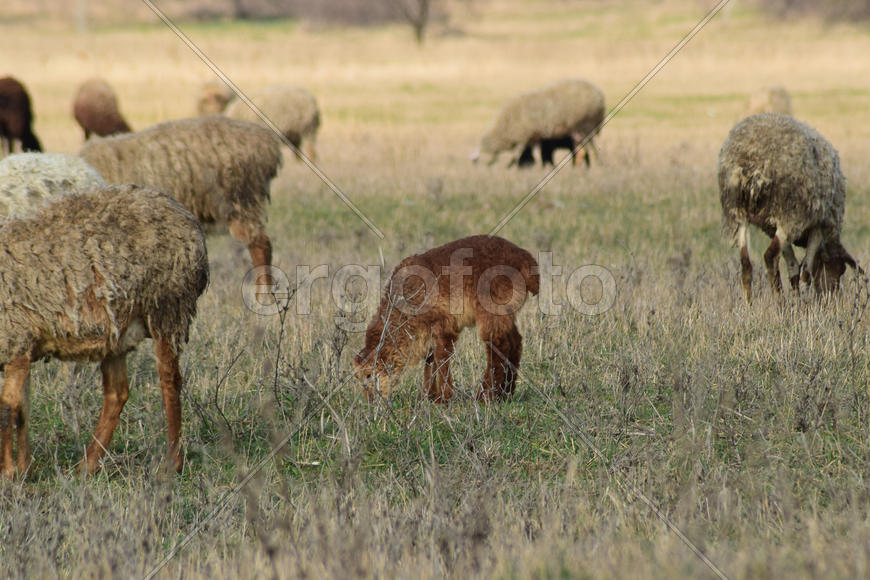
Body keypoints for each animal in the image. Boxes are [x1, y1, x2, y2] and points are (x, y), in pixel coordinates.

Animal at [0, 184, 209, 477]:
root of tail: (185, 214)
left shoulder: (16, 339)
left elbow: (8, 408)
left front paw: (9, 473)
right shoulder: (22, 346)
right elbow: (22, 410)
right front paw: (24, 469)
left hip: (167, 308)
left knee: (170, 381)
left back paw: (172, 463)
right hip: (117, 332)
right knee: (117, 393)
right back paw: (87, 465)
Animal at [354, 235, 539, 403]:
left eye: (369, 375)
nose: (371, 402)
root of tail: (525, 259)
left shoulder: (444, 325)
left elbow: (442, 357)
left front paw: (444, 397)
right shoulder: (427, 331)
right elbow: (431, 360)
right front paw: (427, 396)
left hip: (492, 310)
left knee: (499, 346)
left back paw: (486, 395)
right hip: (506, 313)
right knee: (515, 342)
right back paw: (507, 392)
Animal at [471, 79, 604, 167]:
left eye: (478, 161)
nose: (482, 169)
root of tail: (600, 96)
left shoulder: (523, 137)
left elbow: (516, 155)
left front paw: (511, 167)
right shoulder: (533, 137)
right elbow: (536, 155)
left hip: (585, 127)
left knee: (590, 149)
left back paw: (596, 164)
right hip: (578, 132)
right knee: (583, 150)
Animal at [718, 113, 857, 302]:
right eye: (841, 270)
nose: (831, 299)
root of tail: (752, 162)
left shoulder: (779, 230)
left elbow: (793, 267)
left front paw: (797, 299)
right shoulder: (818, 226)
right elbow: (805, 270)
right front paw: (803, 301)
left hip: (737, 213)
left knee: (746, 263)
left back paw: (748, 304)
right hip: (789, 213)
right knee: (770, 257)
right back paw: (779, 301)